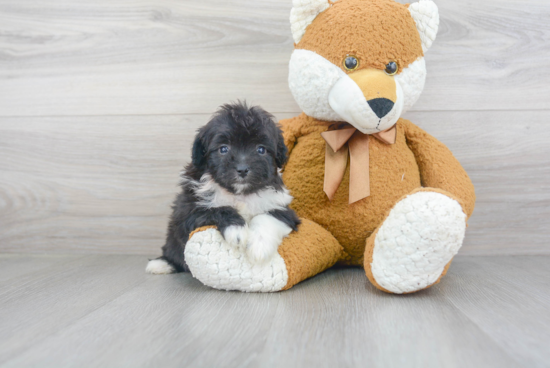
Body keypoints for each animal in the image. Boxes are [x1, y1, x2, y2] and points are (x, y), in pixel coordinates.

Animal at [147, 102, 302, 274]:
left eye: (261, 149)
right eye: (223, 149)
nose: (242, 169)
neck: (239, 193)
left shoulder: (283, 209)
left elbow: (266, 217)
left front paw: (259, 246)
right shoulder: (188, 210)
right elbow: (218, 208)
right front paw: (237, 231)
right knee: (172, 250)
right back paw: (162, 263)